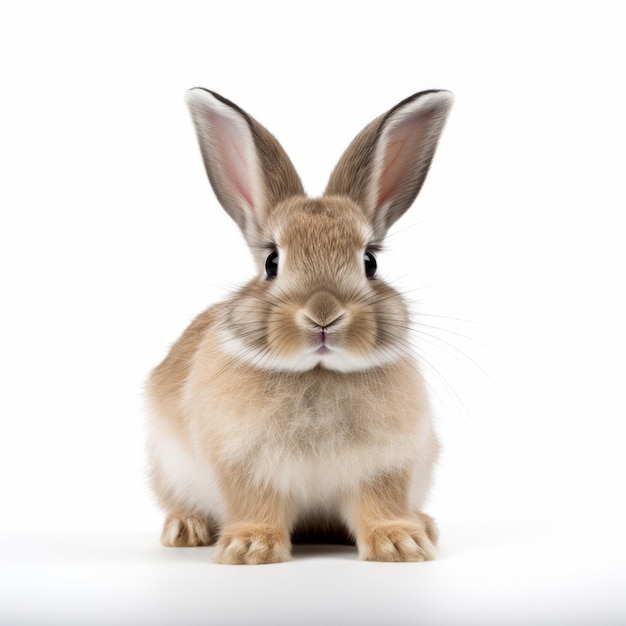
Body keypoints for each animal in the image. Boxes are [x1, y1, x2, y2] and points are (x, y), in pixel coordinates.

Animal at [147, 85, 454, 564]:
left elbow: (379, 504)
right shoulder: (245, 467)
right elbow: (256, 504)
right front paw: (250, 548)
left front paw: (401, 545)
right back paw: (185, 529)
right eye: (272, 261)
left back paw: (424, 525)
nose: (323, 315)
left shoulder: (385, 467)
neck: (318, 372)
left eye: (370, 261)